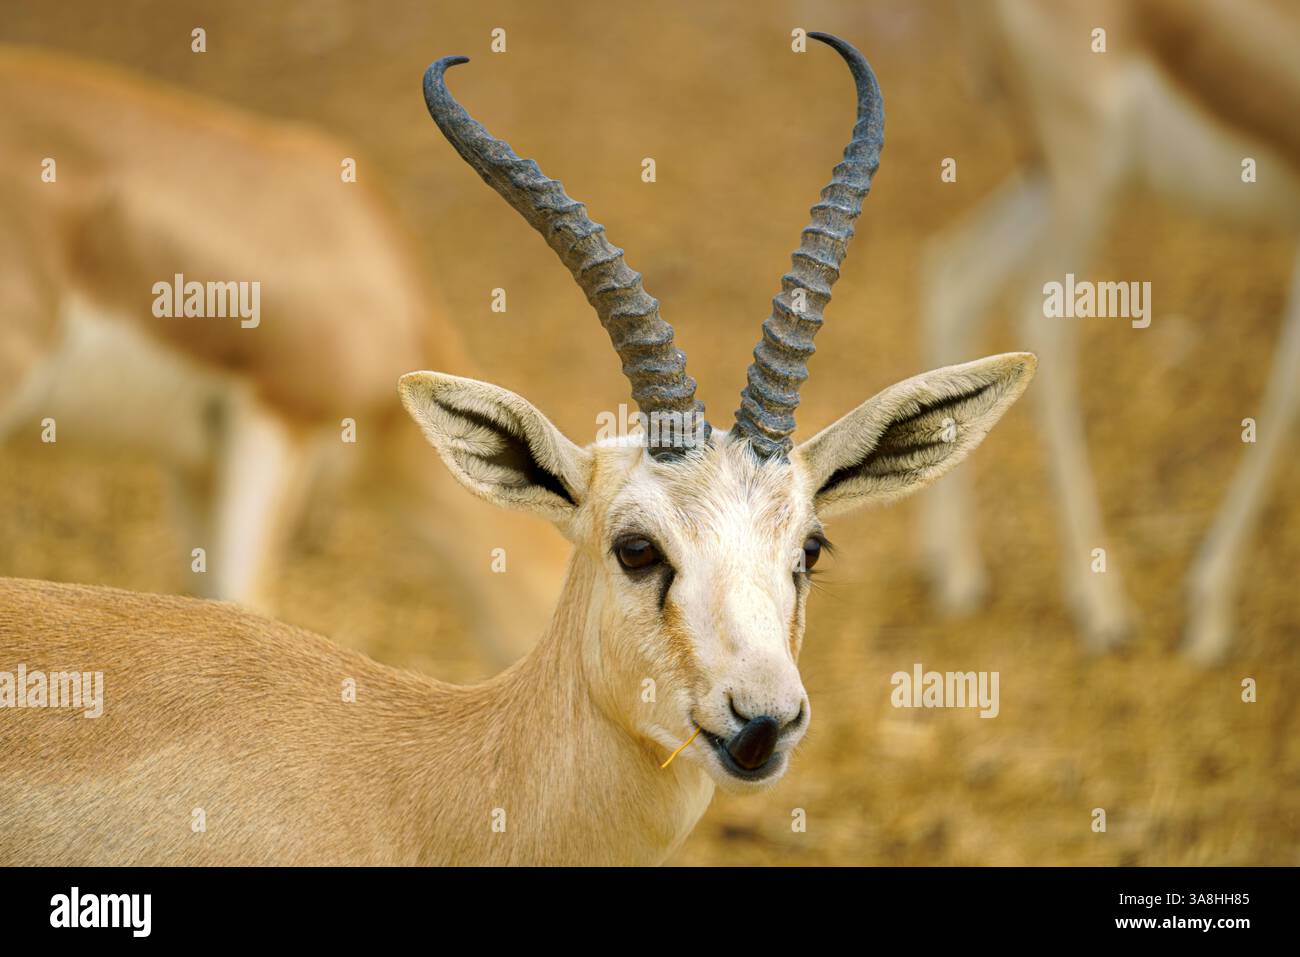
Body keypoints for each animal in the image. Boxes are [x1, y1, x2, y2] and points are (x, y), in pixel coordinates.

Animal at [919, 0, 1300, 661]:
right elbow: (1287, 389)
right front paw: (1208, 617)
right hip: (1088, 170)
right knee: (1038, 319)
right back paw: (1102, 609)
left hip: (1055, 173)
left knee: (956, 275)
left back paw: (957, 572)